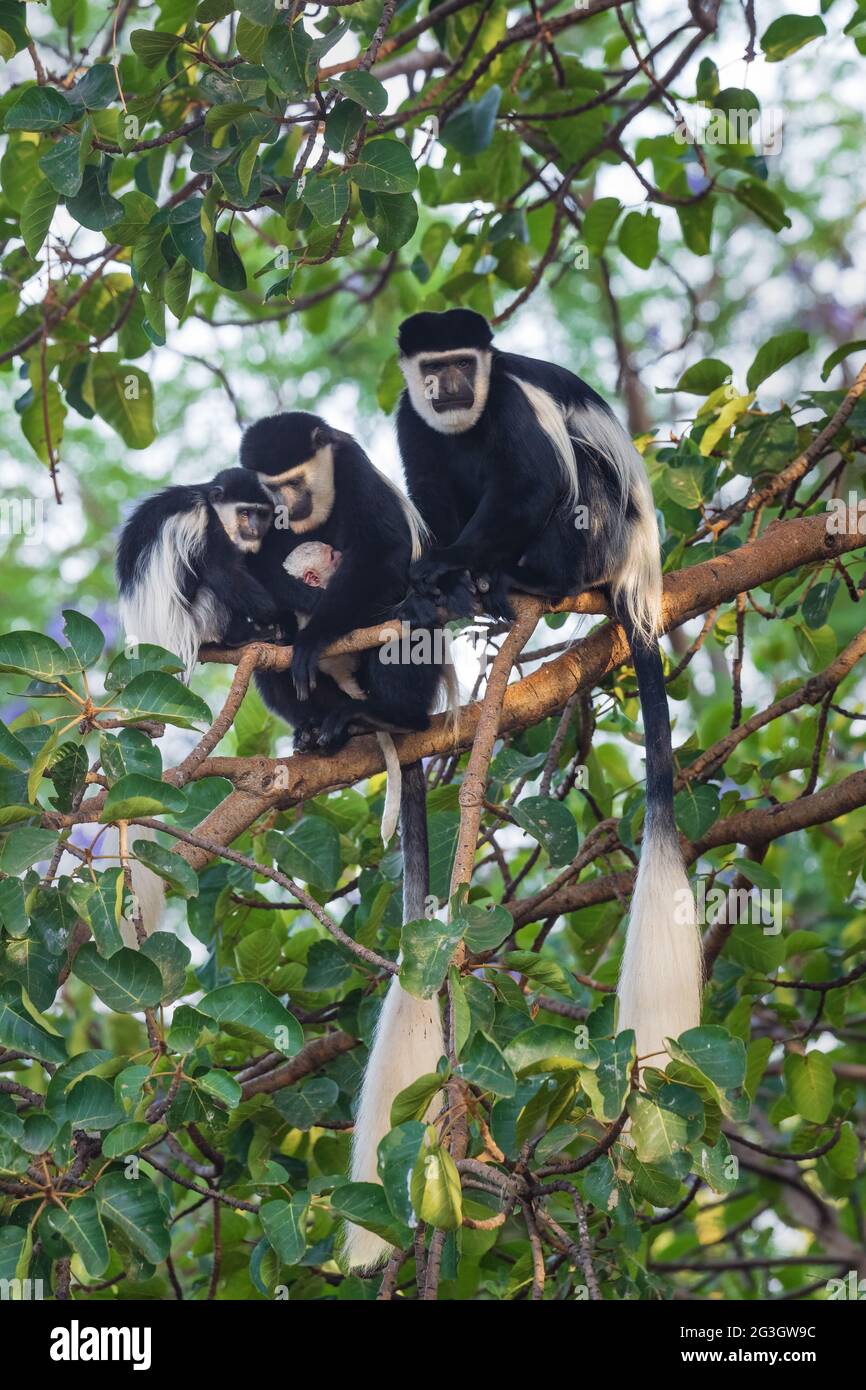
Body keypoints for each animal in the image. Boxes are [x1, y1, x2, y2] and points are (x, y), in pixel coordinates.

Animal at [117, 469, 280, 681]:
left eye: (262, 514)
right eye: (244, 513)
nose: (254, 529)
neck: (208, 500)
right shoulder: (205, 523)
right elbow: (222, 571)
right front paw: (277, 614)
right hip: (195, 622)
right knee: (212, 591)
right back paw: (239, 637)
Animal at [400, 312, 706, 1073]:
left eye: (463, 363)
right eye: (432, 368)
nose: (449, 388)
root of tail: (639, 575)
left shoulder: (511, 405)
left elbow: (533, 483)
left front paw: (446, 569)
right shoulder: (412, 420)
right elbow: (428, 483)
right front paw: (443, 576)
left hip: (601, 534)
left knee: (574, 476)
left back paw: (522, 580)